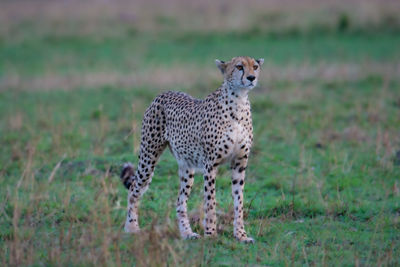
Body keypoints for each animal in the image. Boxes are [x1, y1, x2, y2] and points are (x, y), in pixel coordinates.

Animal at [121, 56, 266, 243]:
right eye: (239, 67)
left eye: (255, 67)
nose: (251, 78)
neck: (239, 102)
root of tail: (163, 93)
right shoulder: (210, 164)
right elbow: (210, 201)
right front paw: (211, 234)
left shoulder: (239, 163)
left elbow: (238, 201)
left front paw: (241, 235)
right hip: (148, 156)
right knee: (134, 188)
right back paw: (131, 227)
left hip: (186, 166)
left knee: (180, 201)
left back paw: (187, 233)